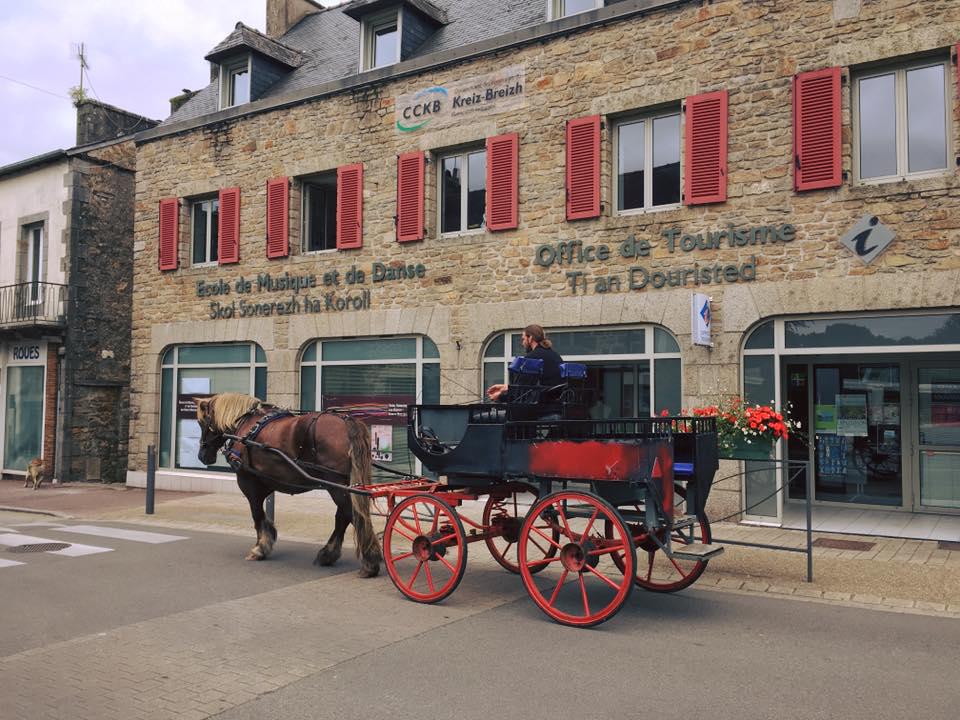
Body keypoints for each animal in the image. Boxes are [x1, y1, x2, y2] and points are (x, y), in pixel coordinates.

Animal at [195, 393, 382, 577]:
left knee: (352, 514)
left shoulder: (249, 483)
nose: (202, 455)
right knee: (343, 516)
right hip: (342, 485)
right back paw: (328, 554)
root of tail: (346, 421)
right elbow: (263, 516)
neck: (246, 426)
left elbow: (257, 515)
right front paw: (268, 538)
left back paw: (369, 562)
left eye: (201, 422)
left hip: (335, 485)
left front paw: (260, 548)